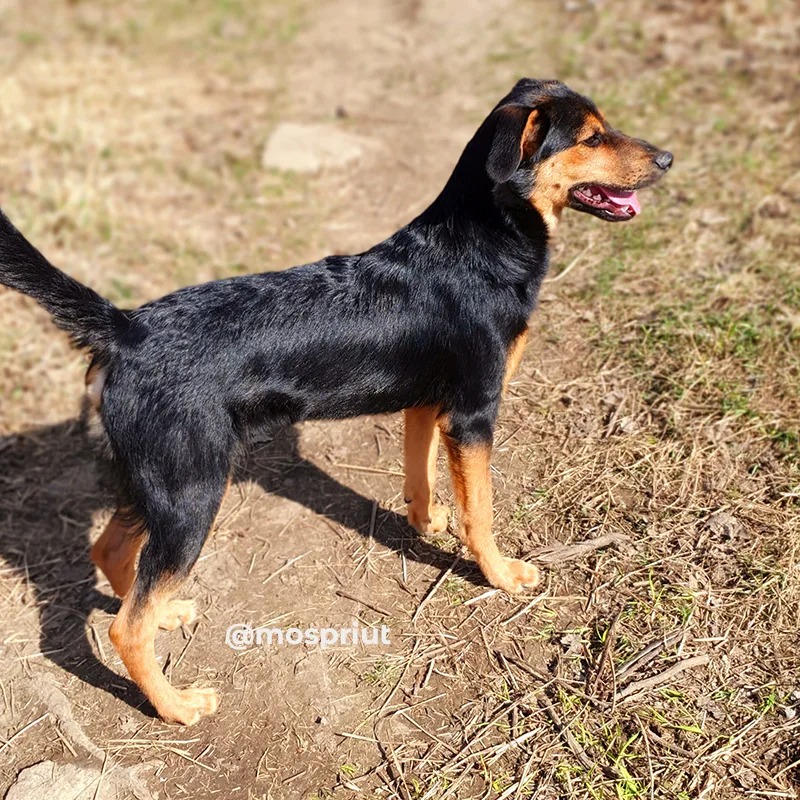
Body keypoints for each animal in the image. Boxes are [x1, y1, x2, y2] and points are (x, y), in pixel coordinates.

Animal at [0, 81, 672, 724]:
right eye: (591, 137)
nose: (668, 158)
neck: (479, 245)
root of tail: (125, 328)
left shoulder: (428, 406)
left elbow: (420, 471)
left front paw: (426, 522)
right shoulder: (475, 413)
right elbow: (480, 512)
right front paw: (501, 575)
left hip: (160, 479)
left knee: (113, 554)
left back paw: (166, 617)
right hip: (192, 491)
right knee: (125, 625)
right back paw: (176, 706)